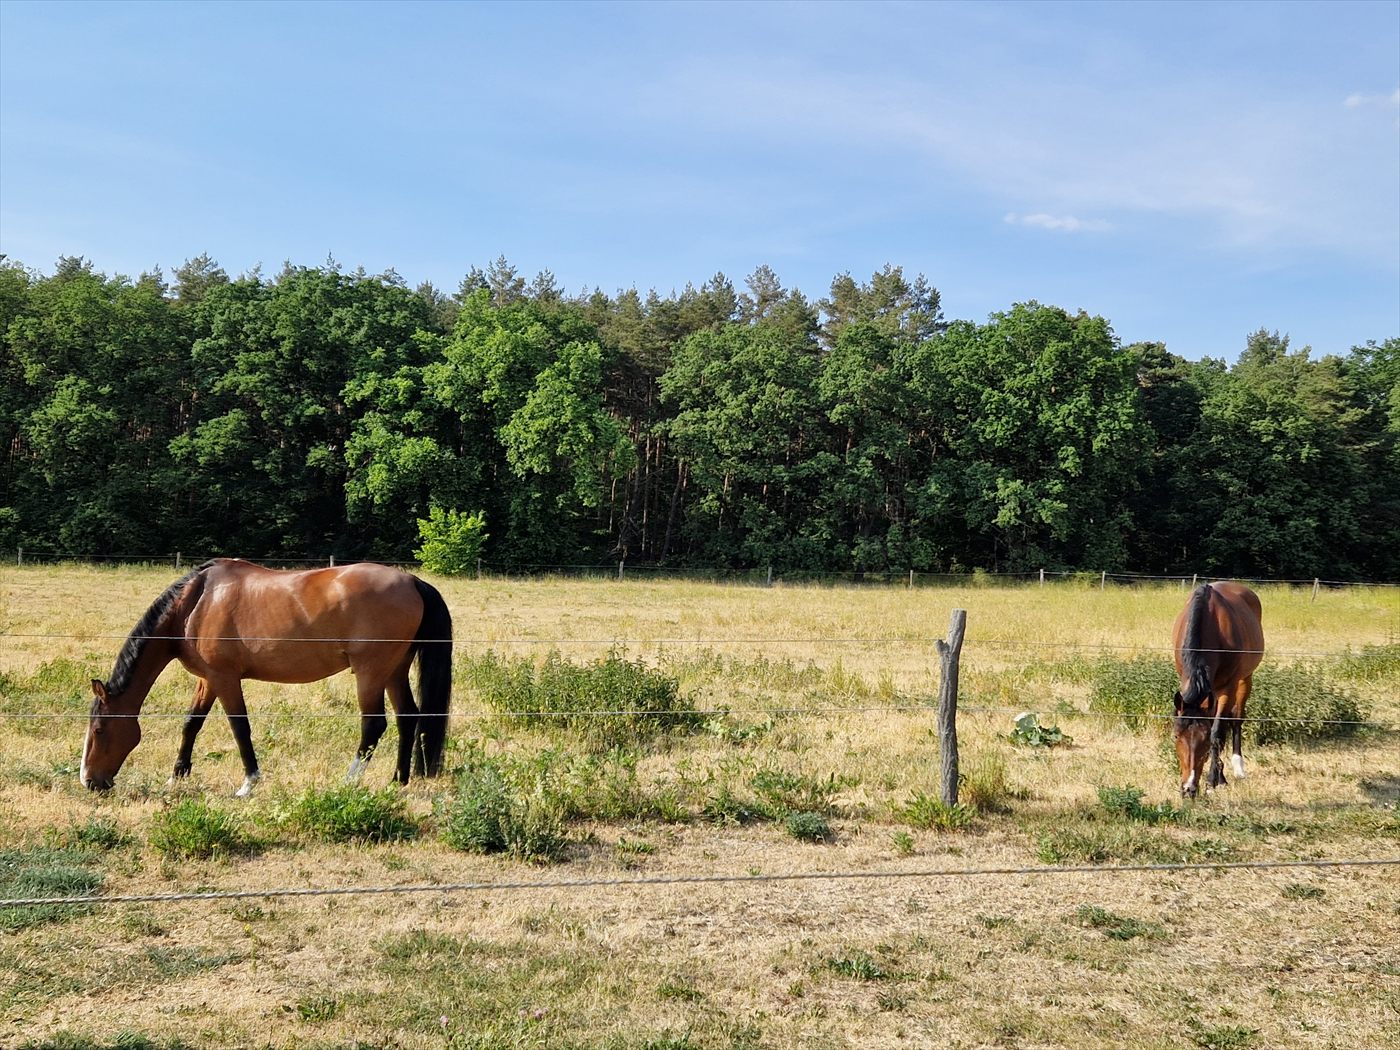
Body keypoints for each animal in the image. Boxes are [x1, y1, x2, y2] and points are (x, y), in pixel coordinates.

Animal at [81, 558, 453, 795]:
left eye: (99, 730)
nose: (89, 781)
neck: (196, 603)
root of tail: (412, 581)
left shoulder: (225, 678)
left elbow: (239, 727)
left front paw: (249, 783)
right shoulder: (208, 679)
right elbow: (191, 724)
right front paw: (177, 777)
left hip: (370, 672)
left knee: (374, 725)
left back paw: (350, 781)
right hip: (394, 670)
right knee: (408, 717)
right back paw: (398, 780)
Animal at [1170, 581, 1264, 799]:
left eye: (1204, 742)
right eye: (1176, 736)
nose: (1188, 789)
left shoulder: (1226, 688)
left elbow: (1217, 732)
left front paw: (1214, 781)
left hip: (1245, 679)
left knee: (1236, 718)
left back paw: (1238, 767)